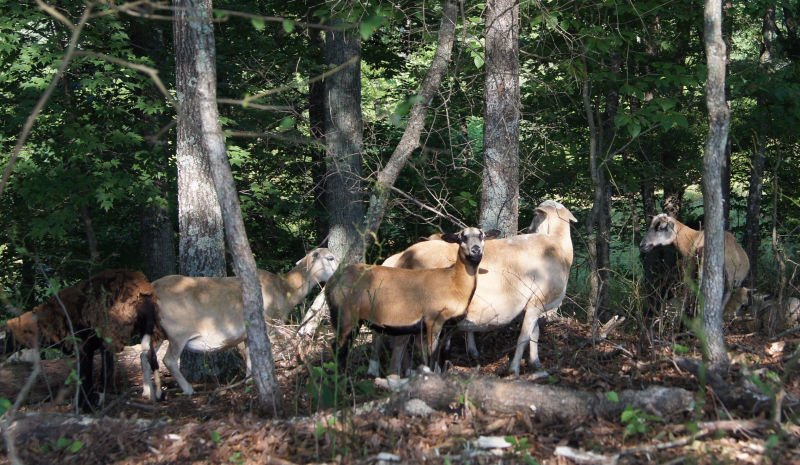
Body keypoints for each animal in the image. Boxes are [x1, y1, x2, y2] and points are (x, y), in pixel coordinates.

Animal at [3, 269, 161, 410]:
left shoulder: (83, 344)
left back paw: (97, 400)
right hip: (148, 327)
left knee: (108, 370)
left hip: (111, 330)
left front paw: (83, 404)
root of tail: (141, 289)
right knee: (152, 357)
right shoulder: (88, 345)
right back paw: (157, 394)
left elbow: (84, 373)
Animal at [152, 248, 338, 396]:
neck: (285, 290)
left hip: (156, 332)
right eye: (330, 257)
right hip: (178, 331)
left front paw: (250, 381)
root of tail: (153, 286)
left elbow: (250, 356)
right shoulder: (268, 323)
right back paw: (188, 390)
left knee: (149, 357)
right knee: (168, 360)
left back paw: (154, 393)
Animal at [325, 227, 499, 370]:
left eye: (482, 235)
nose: (476, 251)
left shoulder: (446, 326)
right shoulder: (433, 320)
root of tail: (331, 282)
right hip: (345, 317)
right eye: (462, 237)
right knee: (336, 348)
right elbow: (431, 356)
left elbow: (441, 354)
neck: (454, 282)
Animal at [369, 200, 577, 377]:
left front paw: (536, 364)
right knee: (400, 342)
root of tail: (406, 256)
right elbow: (524, 337)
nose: (529, 229)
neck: (558, 246)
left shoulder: (535, 304)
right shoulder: (536, 303)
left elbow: (535, 334)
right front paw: (514, 370)